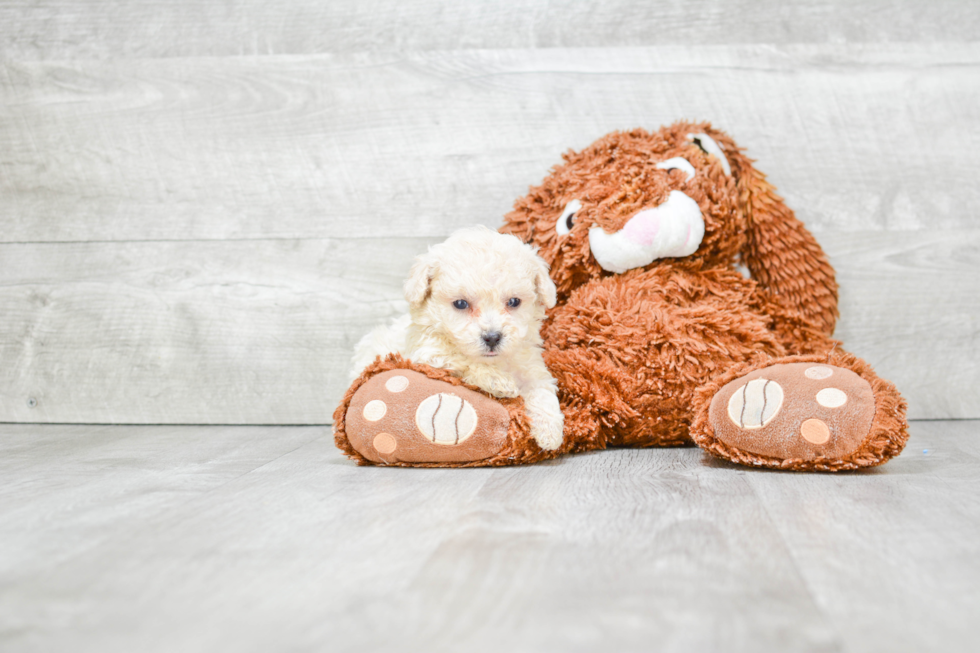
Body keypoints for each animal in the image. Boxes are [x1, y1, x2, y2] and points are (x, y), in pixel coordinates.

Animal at [352, 224, 568, 448]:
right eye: (461, 304)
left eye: (514, 302)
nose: (492, 337)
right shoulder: (428, 354)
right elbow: (463, 360)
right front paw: (498, 381)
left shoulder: (530, 366)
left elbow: (541, 389)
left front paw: (550, 431)